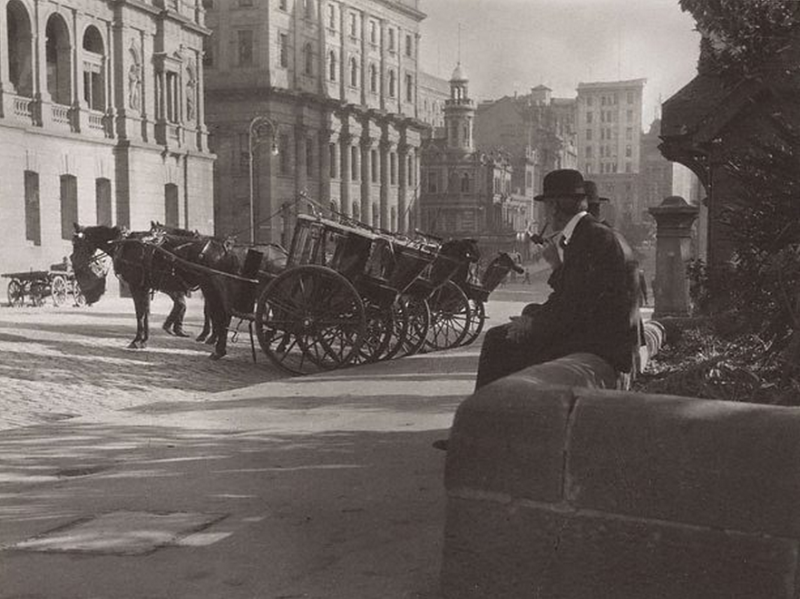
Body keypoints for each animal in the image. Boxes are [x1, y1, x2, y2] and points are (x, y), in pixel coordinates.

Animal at [71, 223, 241, 358]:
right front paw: (144, 340)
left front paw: (137, 340)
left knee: (220, 315)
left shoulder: (136, 287)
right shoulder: (145, 287)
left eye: (76, 243)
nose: (73, 260)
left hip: (212, 288)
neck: (123, 244)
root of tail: (226, 249)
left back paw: (217, 348)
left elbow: (140, 314)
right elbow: (146, 313)